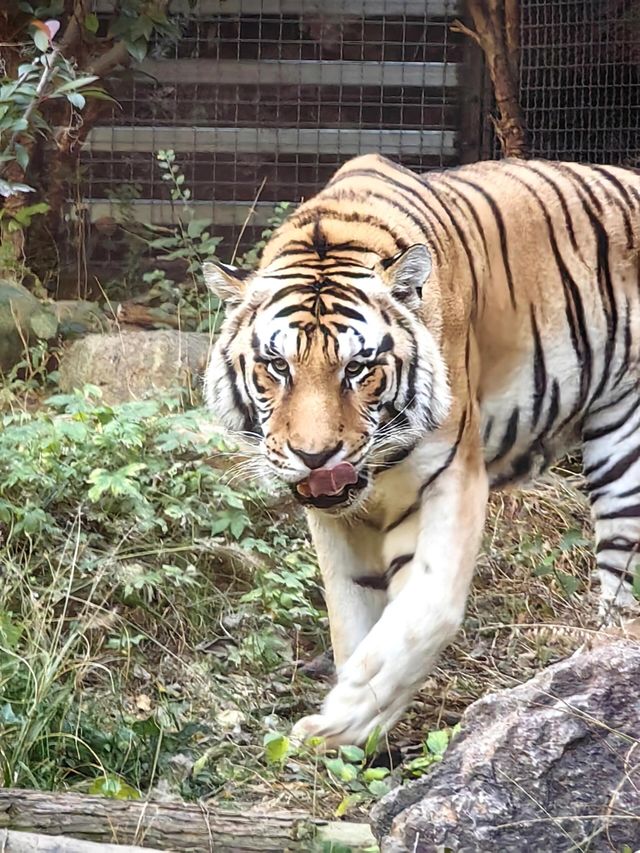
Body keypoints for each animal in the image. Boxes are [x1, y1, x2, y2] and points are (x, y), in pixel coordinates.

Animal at [204, 153, 640, 744]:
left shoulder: (451, 477)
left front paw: (347, 714)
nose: (316, 457)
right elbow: (351, 615)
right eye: (277, 367)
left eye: (357, 368)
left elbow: (425, 611)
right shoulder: (336, 520)